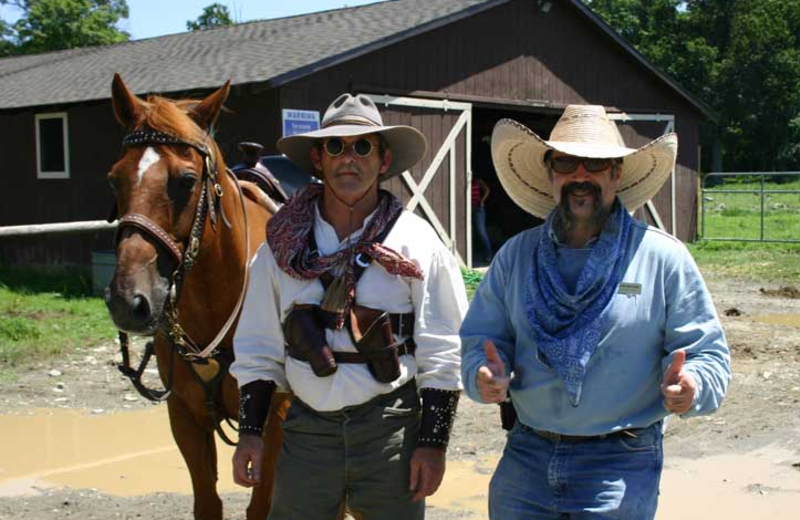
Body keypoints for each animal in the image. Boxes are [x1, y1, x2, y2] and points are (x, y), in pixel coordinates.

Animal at [104, 74, 292, 520]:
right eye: (114, 178)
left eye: (186, 181)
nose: (128, 301)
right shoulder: (185, 418)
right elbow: (207, 502)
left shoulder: (275, 423)